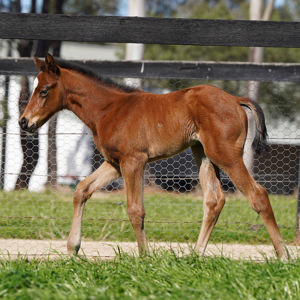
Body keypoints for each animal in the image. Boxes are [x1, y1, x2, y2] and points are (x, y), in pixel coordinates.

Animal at [19, 54, 288, 258]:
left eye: (44, 91)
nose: (24, 122)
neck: (109, 110)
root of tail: (235, 99)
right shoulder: (114, 163)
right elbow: (82, 190)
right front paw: (72, 247)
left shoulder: (133, 161)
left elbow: (135, 209)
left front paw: (145, 257)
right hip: (203, 154)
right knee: (214, 200)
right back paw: (195, 255)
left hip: (226, 155)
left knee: (258, 194)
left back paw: (283, 255)